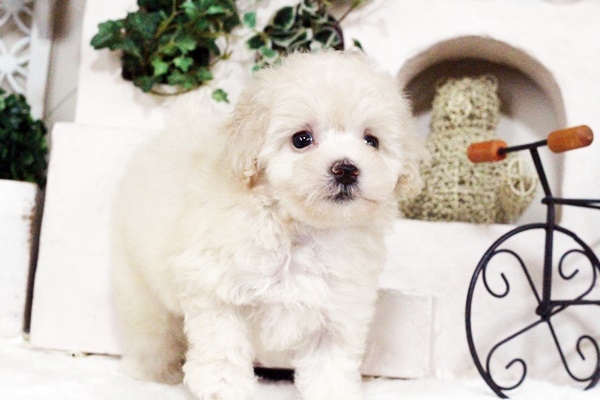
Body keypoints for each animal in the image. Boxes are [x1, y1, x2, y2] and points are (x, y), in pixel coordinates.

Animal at [111, 50, 427, 400]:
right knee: (150, 331)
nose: (346, 168)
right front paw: (224, 390)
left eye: (372, 141)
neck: (300, 229)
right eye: (301, 140)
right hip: (139, 284)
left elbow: (330, 365)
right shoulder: (217, 291)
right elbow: (223, 351)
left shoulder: (336, 309)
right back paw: (151, 373)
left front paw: (332, 392)